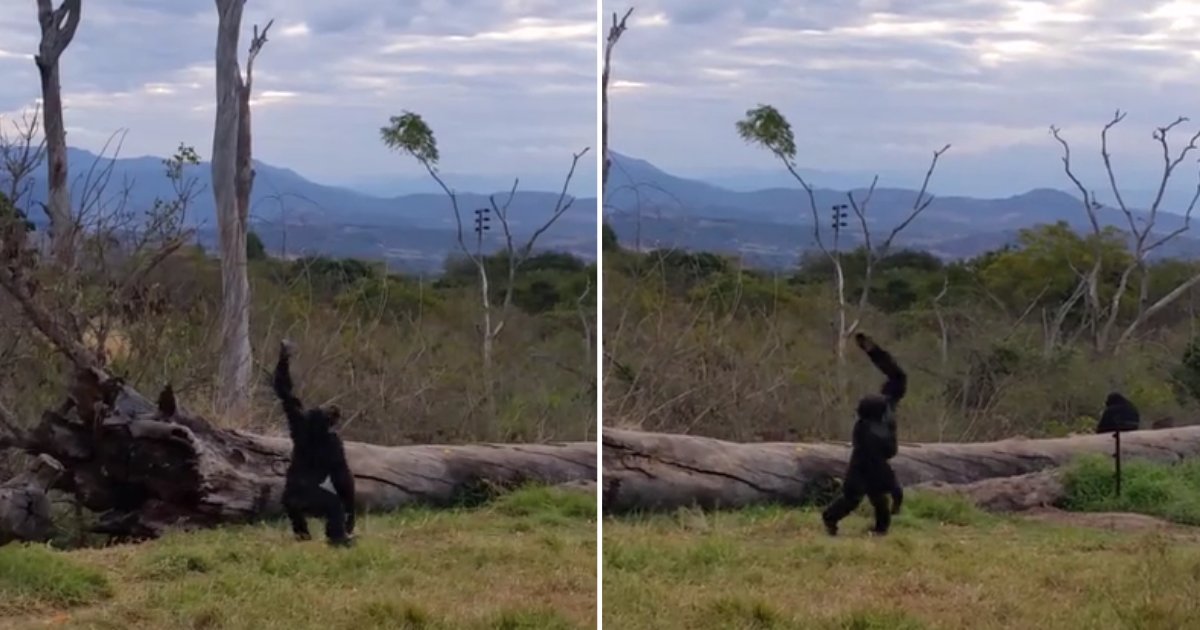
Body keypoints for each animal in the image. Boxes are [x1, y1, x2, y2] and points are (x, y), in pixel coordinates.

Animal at [274, 338, 355, 544]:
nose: (332, 408)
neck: (316, 429)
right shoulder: (335, 441)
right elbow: (342, 476)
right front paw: (351, 517)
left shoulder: (298, 418)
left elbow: (285, 393)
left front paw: (284, 353)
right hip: (311, 499)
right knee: (334, 506)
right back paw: (340, 539)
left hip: (288, 501)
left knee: (297, 517)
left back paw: (303, 535)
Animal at [820, 328, 902, 535]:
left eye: (885, 405)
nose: (888, 410)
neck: (876, 420)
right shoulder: (866, 433)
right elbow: (878, 453)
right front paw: (898, 493)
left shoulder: (890, 396)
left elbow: (896, 378)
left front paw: (867, 344)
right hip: (860, 470)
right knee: (854, 495)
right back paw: (829, 520)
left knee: (877, 499)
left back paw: (880, 527)